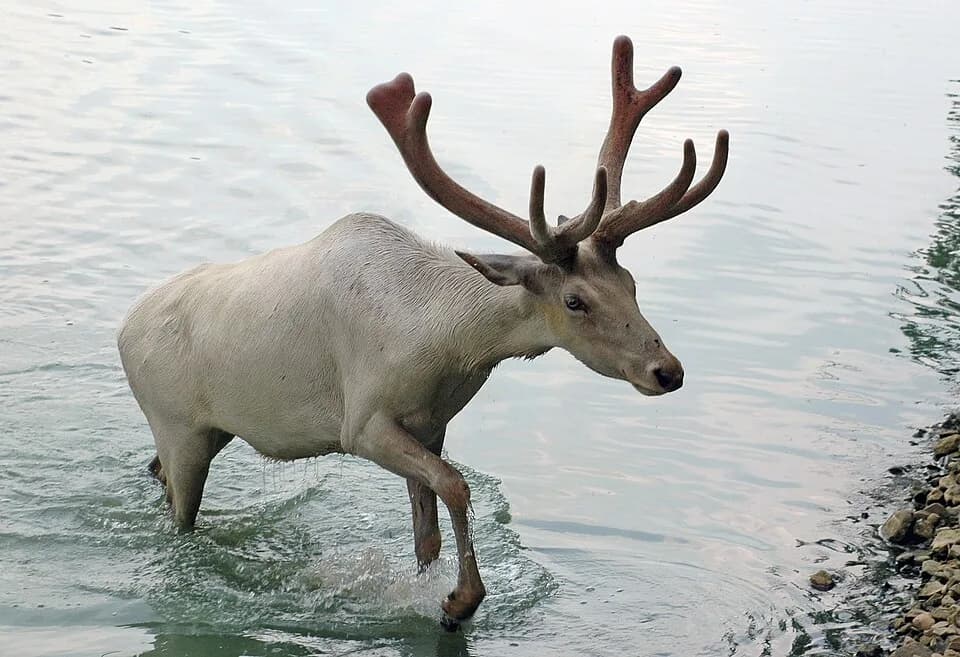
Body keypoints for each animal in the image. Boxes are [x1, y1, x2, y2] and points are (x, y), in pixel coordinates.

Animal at [117, 35, 728, 629]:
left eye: (630, 283)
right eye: (574, 301)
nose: (667, 370)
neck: (444, 348)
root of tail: (122, 329)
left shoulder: (431, 424)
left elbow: (428, 532)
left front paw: (440, 588)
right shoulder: (362, 424)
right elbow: (457, 485)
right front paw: (459, 600)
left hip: (209, 430)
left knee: (156, 469)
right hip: (176, 424)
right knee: (180, 511)